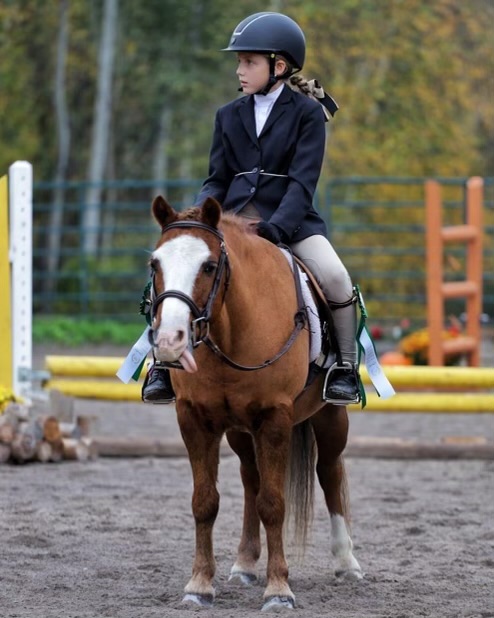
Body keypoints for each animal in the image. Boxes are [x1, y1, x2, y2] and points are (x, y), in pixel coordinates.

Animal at [149, 196, 360, 608]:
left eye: (208, 265)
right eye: (155, 264)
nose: (169, 341)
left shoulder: (274, 418)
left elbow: (273, 503)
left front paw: (278, 589)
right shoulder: (194, 419)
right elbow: (205, 501)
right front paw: (199, 585)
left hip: (329, 418)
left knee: (329, 472)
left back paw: (347, 563)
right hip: (240, 431)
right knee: (251, 478)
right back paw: (245, 564)